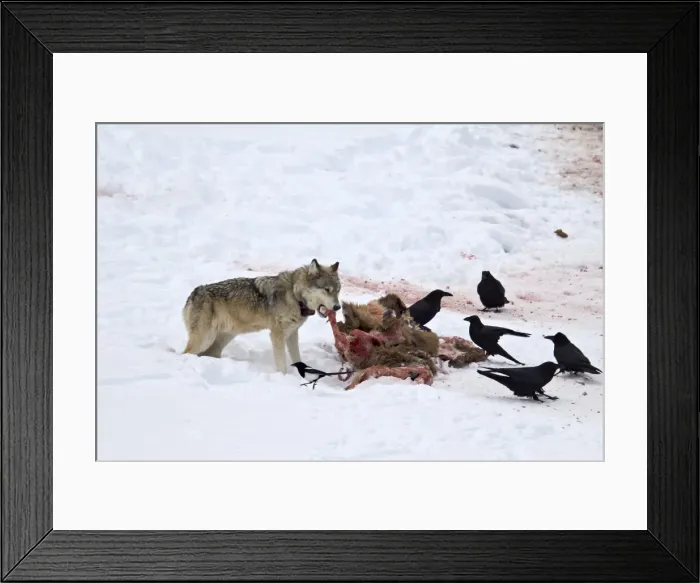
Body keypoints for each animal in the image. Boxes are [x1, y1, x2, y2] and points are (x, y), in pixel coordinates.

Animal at [182, 259, 341, 373]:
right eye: (327, 290)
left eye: (338, 290)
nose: (338, 307)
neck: (294, 295)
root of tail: (193, 293)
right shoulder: (277, 335)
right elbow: (281, 364)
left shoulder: (292, 334)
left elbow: (297, 358)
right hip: (205, 339)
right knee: (186, 353)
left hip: (221, 340)